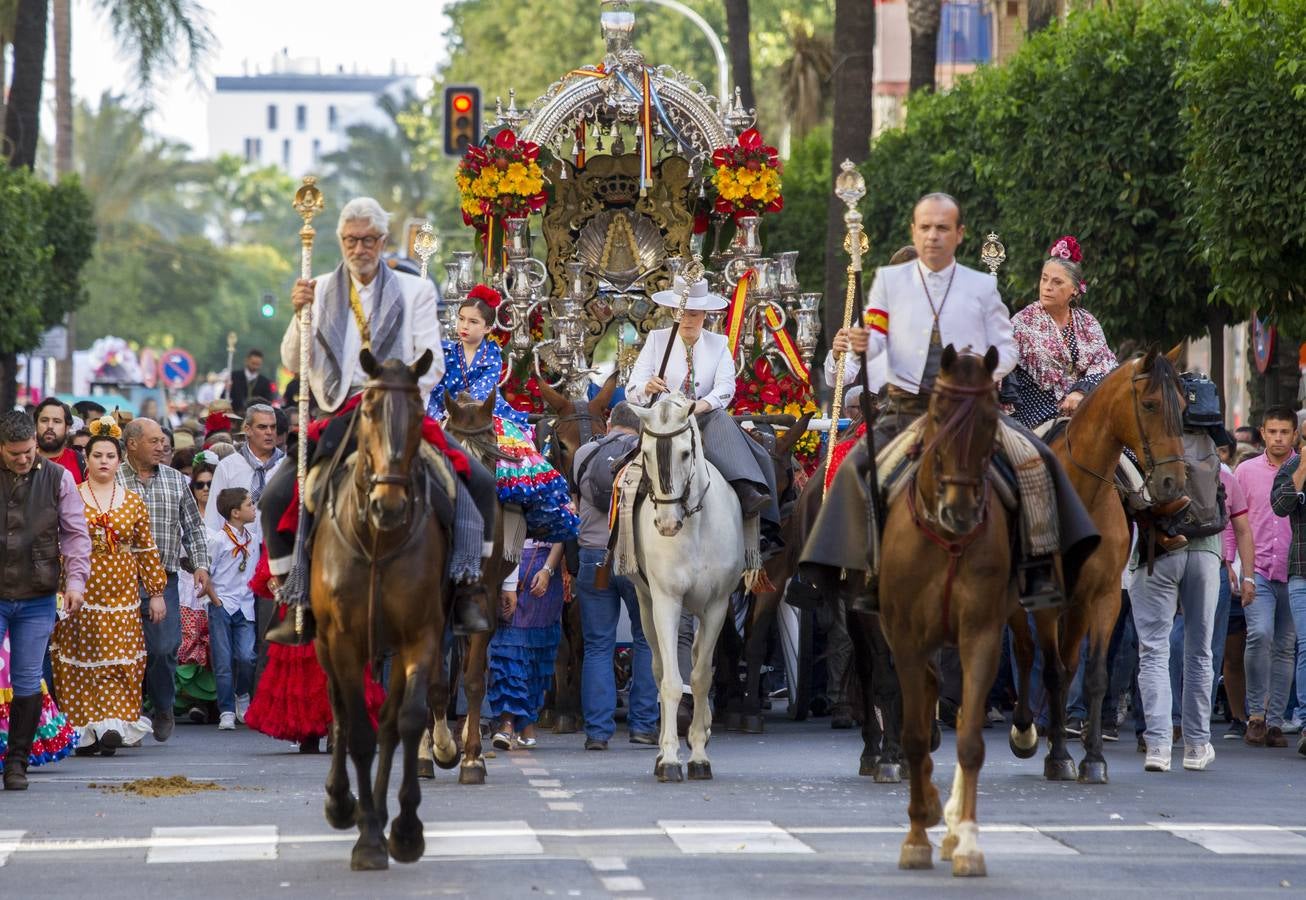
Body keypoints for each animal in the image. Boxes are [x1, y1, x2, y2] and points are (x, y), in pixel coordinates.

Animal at [312, 347, 459, 867]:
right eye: (370, 410)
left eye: (417, 414)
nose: (389, 504)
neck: (377, 539)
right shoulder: (342, 640)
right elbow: (356, 726)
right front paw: (368, 836)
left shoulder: (421, 636)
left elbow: (407, 721)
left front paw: (405, 830)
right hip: (324, 643)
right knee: (339, 710)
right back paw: (342, 803)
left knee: (391, 724)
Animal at [629, 394, 747, 778]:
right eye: (646, 452)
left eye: (684, 453)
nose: (667, 525)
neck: (694, 527)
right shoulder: (667, 600)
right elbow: (670, 680)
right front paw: (669, 758)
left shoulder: (718, 606)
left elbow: (700, 677)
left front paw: (698, 755)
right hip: (646, 603)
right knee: (658, 667)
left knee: (698, 658)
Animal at [1008, 347, 1196, 783]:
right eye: (1149, 404)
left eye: (1183, 406)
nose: (1173, 483)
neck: (1080, 497)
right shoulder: (1046, 599)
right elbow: (1051, 669)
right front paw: (1058, 757)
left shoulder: (1105, 595)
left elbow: (1092, 674)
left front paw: (1091, 759)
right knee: (1026, 652)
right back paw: (1025, 731)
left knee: (1066, 659)